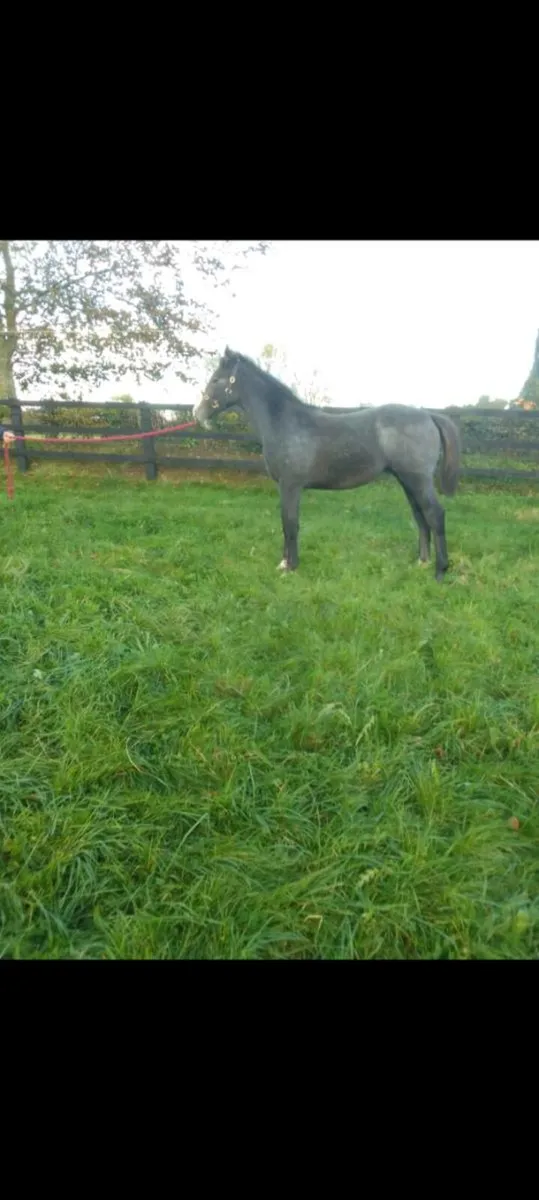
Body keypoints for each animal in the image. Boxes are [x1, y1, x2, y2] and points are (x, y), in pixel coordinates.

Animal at [194, 348, 461, 581]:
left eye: (216, 379)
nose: (198, 414)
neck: (286, 423)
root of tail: (428, 415)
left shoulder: (290, 485)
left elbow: (290, 523)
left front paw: (290, 567)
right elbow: (285, 523)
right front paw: (283, 563)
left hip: (418, 480)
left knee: (435, 514)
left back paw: (440, 571)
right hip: (407, 481)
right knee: (420, 516)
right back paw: (422, 562)